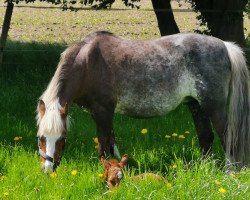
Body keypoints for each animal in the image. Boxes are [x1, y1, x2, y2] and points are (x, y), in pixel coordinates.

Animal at [36, 30, 249, 172]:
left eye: (62, 138)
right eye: (41, 138)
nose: (47, 170)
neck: (88, 62)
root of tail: (225, 45)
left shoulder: (103, 111)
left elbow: (103, 144)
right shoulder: (100, 114)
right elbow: (112, 142)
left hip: (214, 107)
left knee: (227, 136)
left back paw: (230, 171)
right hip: (197, 105)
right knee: (206, 137)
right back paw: (205, 169)